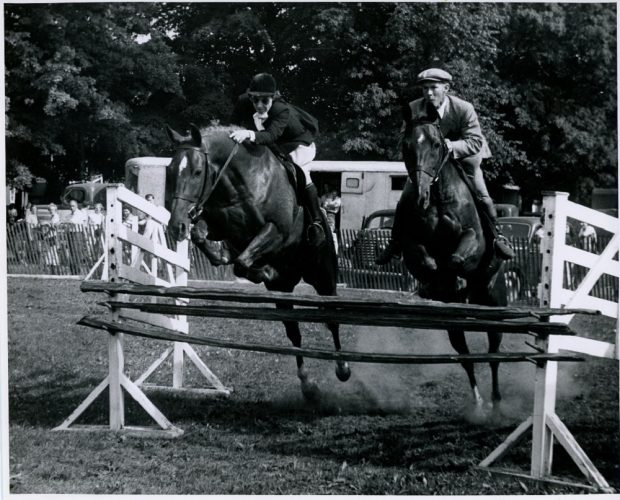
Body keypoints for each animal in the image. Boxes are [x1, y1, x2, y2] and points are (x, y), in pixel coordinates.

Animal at [165, 123, 352, 396]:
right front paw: (228, 257)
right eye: (170, 170)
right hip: (282, 289)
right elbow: (207, 239)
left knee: (333, 319)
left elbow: (243, 262)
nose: (175, 226)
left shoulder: (276, 230)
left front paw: (258, 270)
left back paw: (343, 368)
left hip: (323, 276)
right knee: (293, 332)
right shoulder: (222, 228)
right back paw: (307, 384)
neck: (237, 184)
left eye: (198, 172)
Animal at [394, 105, 506, 410]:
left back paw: (495, 400)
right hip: (453, 327)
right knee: (466, 357)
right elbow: (429, 264)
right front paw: (436, 286)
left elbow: (456, 259)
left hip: (496, 306)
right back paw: (478, 402)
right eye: (406, 146)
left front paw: (457, 282)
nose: (420, 195)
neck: (436, 196)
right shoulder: (412, 245)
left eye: (436, 144)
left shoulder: (473, 238)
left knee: (494, 354)